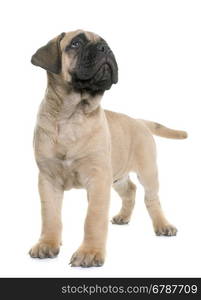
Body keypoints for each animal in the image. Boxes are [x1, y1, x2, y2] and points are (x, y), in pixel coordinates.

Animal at [29, 28, 188, 268]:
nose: (105, 49)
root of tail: (139, 121)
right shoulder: (48, 179)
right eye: (76, 43)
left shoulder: (98, 179)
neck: (72, 115)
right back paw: (123, 216)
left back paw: (163, 225)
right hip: (117, 175)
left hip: (147, 172)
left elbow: (93, 219)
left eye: (106, 43)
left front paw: (89, 253)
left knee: (151, 199)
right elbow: (50, 216)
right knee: (130, 190)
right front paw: (47, 243)